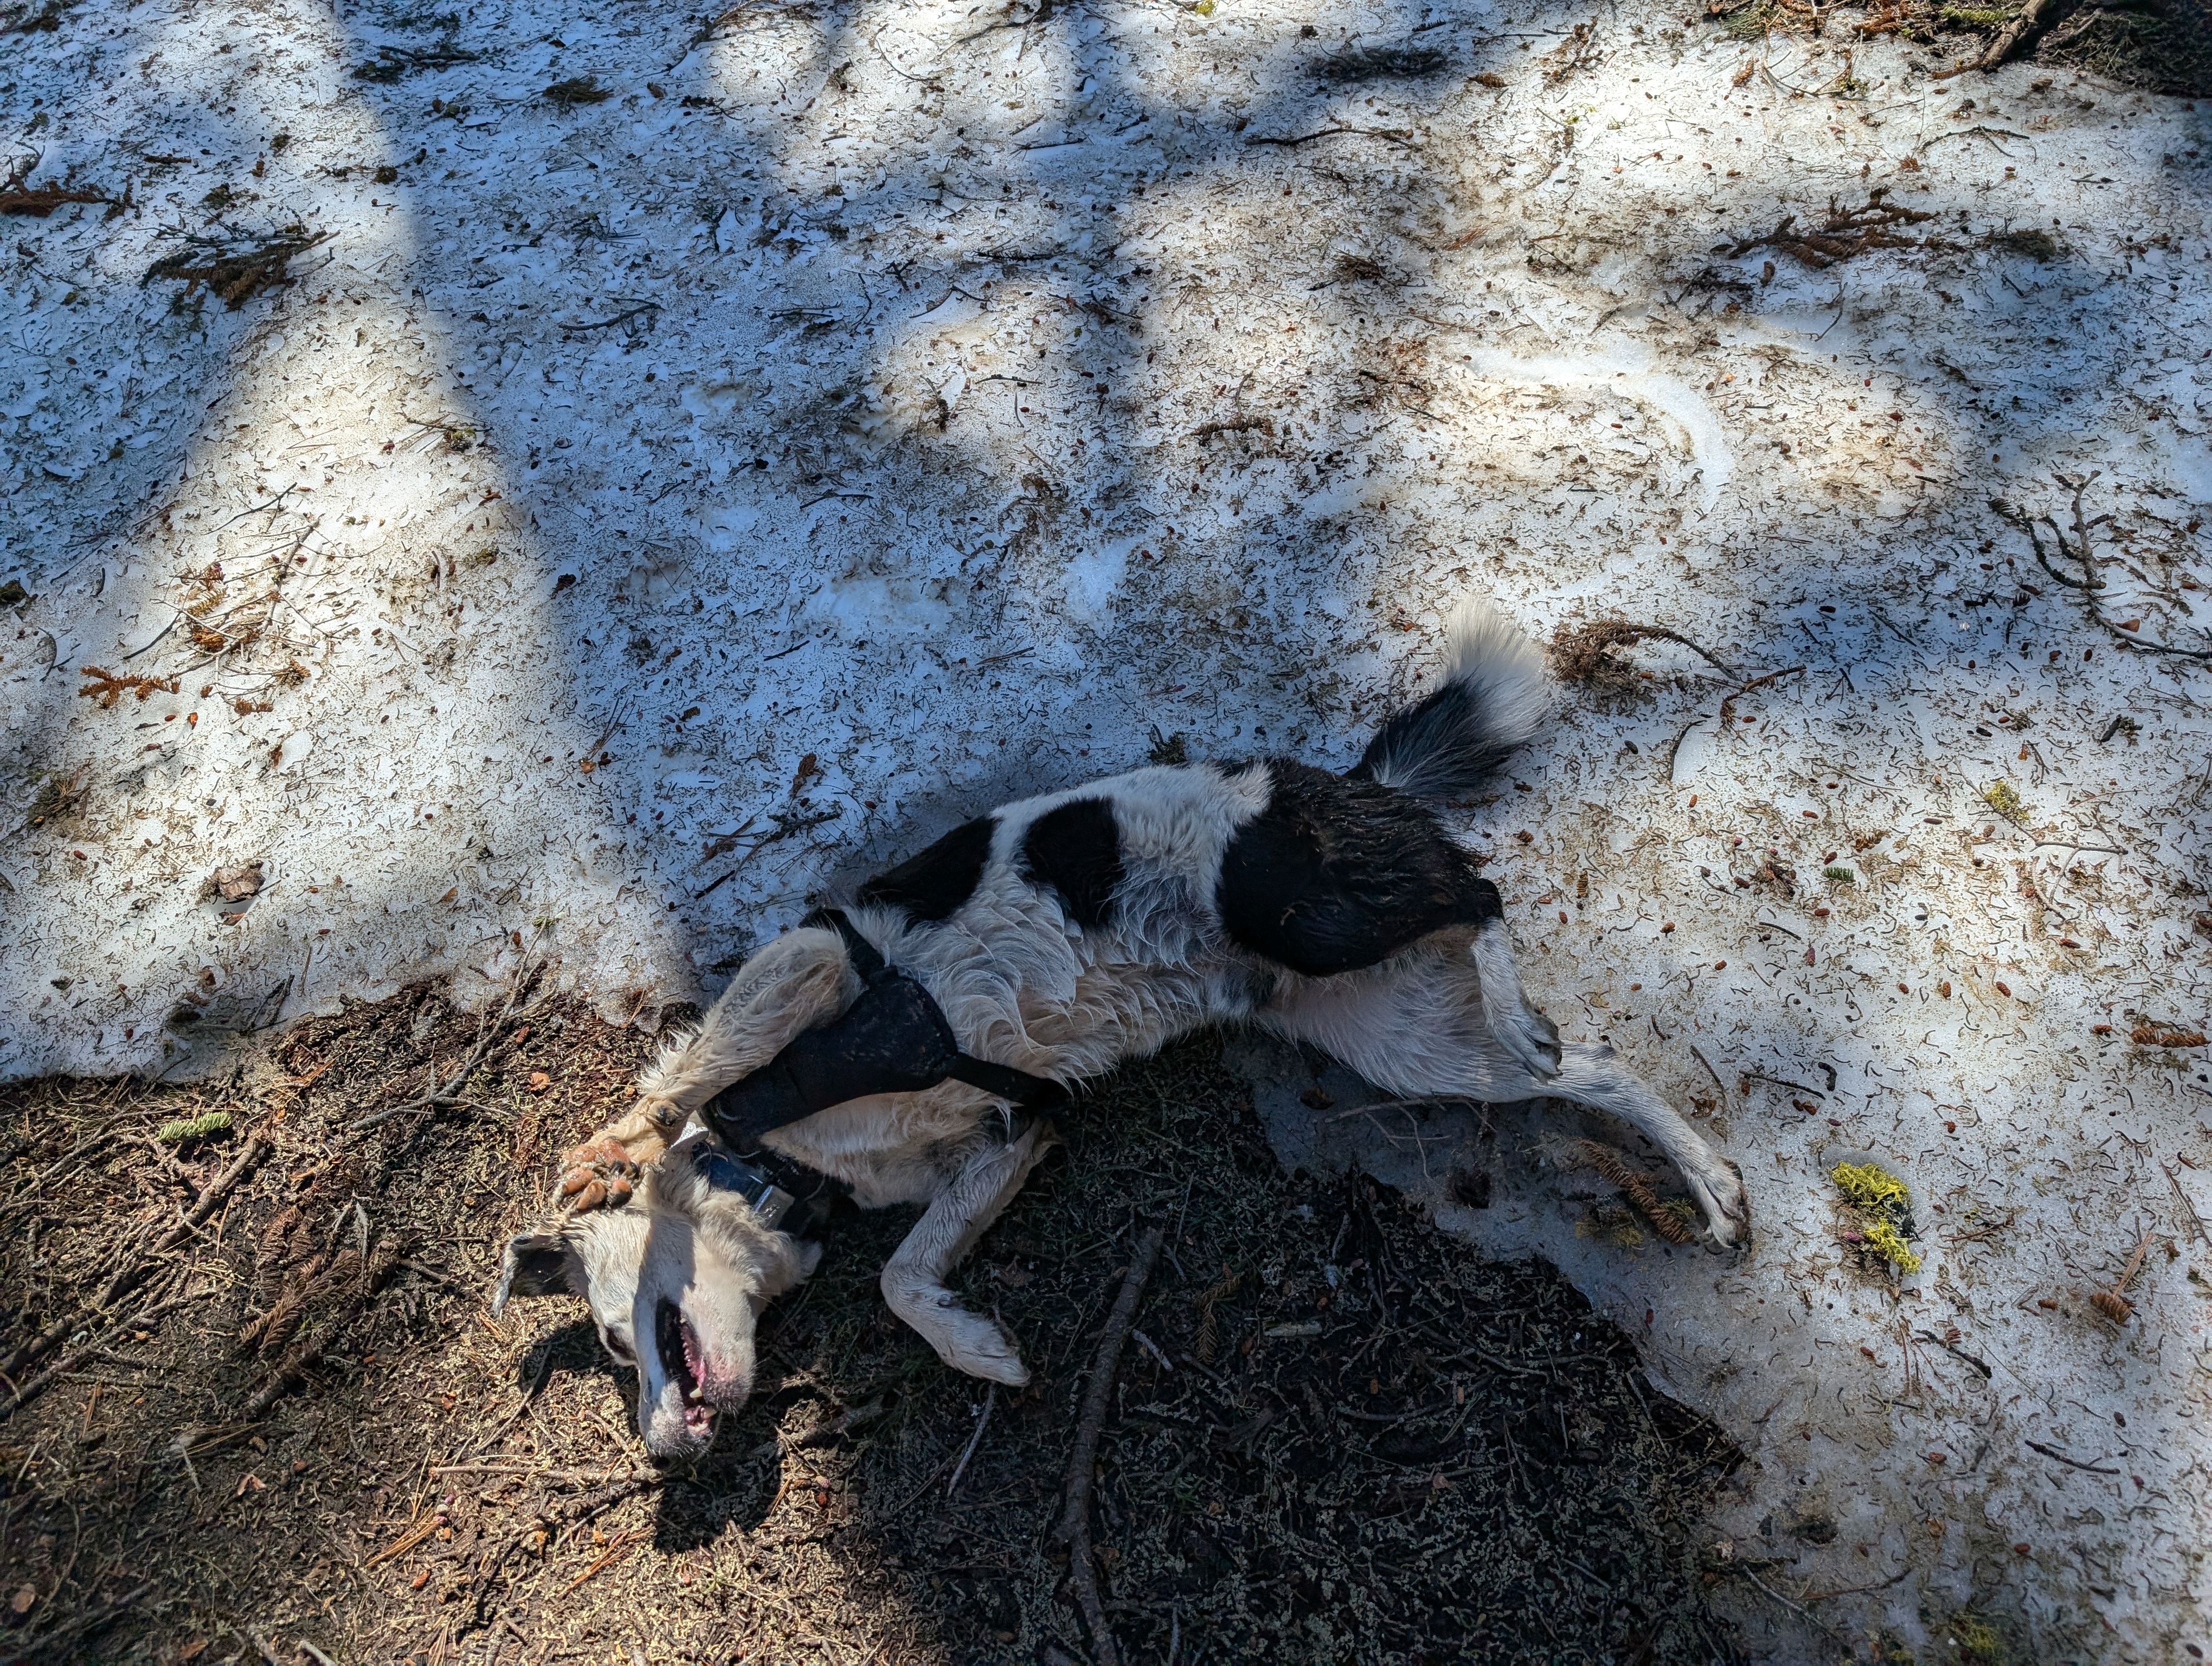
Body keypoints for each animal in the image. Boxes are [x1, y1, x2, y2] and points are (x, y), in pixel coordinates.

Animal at [498, 601, 1743, 1451]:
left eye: (617, 1338)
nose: (663, 1454)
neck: (780, 1154)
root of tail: (1356, 783)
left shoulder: (807, 966)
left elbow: (693, 1076)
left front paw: (608, 1152)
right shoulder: (1009, 1136)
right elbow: (905, 1276)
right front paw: (975, 1344)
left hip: (1300, 906)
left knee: (1477, 892)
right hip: (1397, 1038)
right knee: (1585, 1061)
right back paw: (1713, 1181)